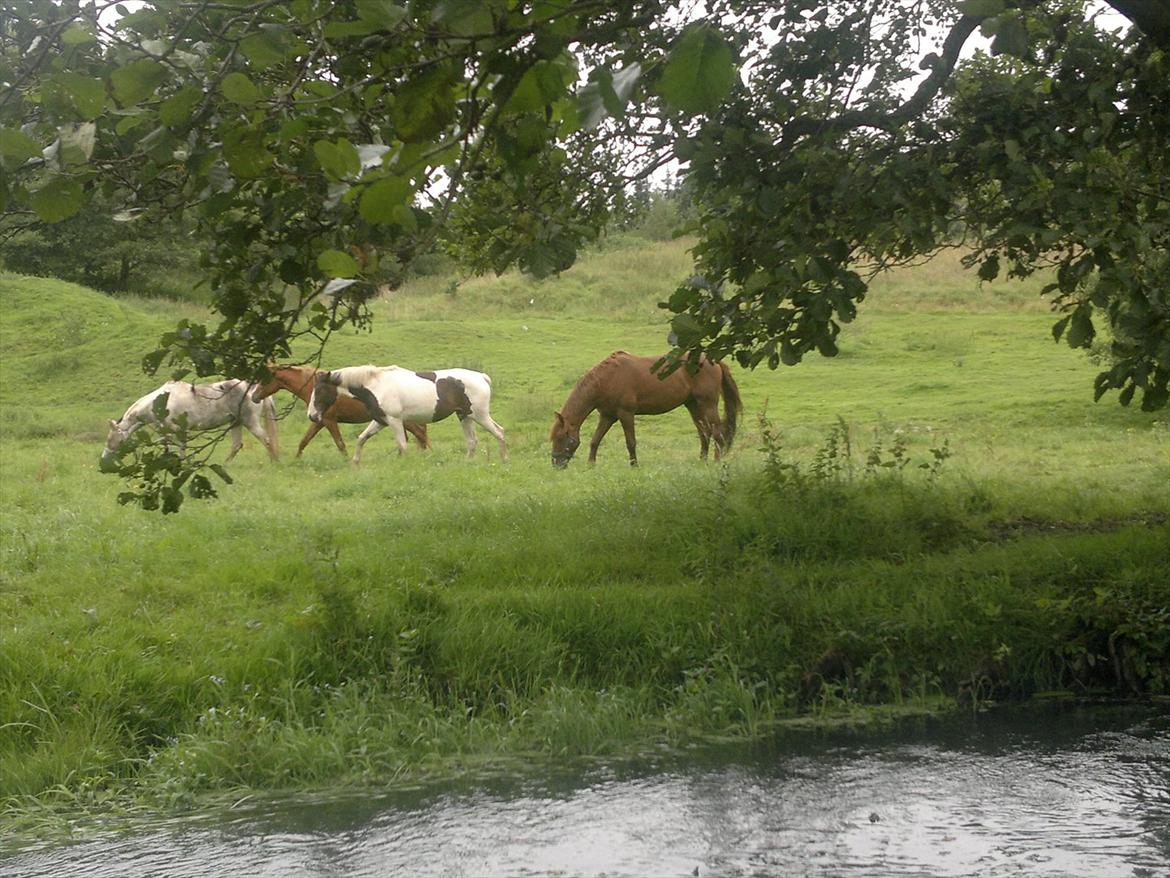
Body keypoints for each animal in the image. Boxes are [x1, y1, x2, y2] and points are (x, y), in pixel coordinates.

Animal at [101, 381, 279, 470]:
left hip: (250, 422)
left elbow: (176, 449)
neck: (157, 403)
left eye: (115, 439)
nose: (104, 459)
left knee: (267, 440)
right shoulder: (172, 431)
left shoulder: (175, 431)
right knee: (236, 445)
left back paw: (274, 463)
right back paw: (225, 466)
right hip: (236, 423)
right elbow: (175, 449)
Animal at [251, 365, 430, 461]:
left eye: (264, 379)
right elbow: (304, 441)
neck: (314, 389)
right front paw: (296, 460)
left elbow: (340, 444)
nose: (254, 396)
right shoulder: (319, 421)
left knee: (420, 434)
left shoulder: (329, 421)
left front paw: (347, 462)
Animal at [308, 365, 505, 463]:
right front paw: (355, 463)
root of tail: (482, 377)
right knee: (472, 441)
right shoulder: (380, 421)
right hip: (464, 416)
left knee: (499, 432)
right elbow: (361, 438)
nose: (312, 416)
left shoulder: (395, 421)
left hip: (479, 415)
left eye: (320, 390)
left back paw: (505, 459)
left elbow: (402, 445)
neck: (376, 385)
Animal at [547, 351, 739, 468]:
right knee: (704, 433)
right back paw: (702, 461)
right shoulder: (607, 416)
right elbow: (595, 440)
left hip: (708, 403)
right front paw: (591, 465)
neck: (607, 379)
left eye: (560, 437)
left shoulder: (626, 414)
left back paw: (716, 462)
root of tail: (713, 360)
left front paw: (634, 466)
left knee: (717, 433)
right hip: (693, 405)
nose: (555, 463)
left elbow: (630, 442)